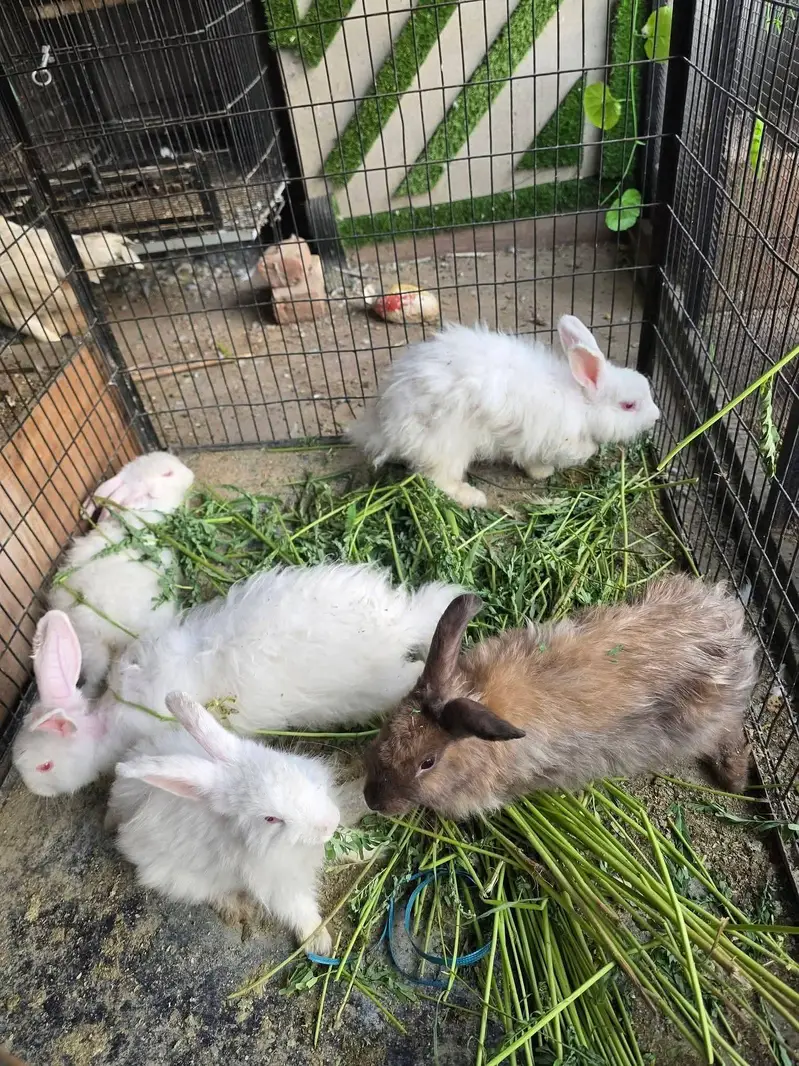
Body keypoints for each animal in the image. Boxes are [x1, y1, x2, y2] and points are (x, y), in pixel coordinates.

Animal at [106, 690, 338, 955]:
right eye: (271, 819)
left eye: (290, 768)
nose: (332, 823)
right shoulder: (273, 880)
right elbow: (298, 907)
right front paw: (320, 942)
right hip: (177, 875)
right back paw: (235, 907)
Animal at [347, 316, 660, 508]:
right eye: (629, 405)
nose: (657, 416)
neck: (581, 404)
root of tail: (384, 423)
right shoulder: (542, 439)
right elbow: (538, 460)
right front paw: (544, 473)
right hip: (447, 445)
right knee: (437, 480)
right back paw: (473, 497)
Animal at [363, 574, 758, 820]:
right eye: (386, 728)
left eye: (427, 762)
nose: (372, 800)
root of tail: (731, 622)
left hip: (705, 723)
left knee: (731, 733)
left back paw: (735, 780)